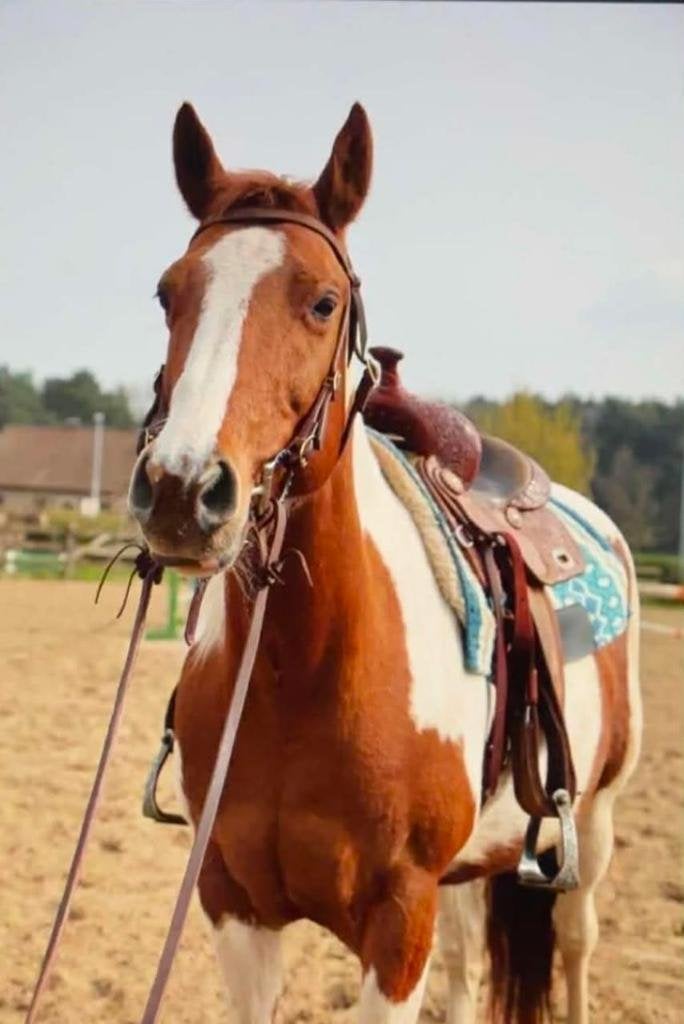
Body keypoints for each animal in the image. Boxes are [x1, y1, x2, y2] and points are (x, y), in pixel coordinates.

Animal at [128, 101, 641, 1024]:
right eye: (168, 293)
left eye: (323, 301)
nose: (183, 489)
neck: (301, 669)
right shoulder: (231, 904)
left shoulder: (400, 924)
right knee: (471, 966)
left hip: (594, 821)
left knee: (577, 946)